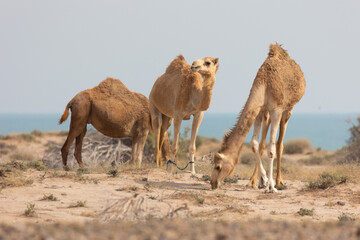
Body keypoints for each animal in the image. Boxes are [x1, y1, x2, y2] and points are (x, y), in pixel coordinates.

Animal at [210, 43, 306, 193]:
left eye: (218, 166)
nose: (213, 183)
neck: (264, 84)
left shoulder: (276, 110)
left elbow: (271, 149)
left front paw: (271, 186)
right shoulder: (259, 111)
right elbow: (254, 144)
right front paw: (264, 180)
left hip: (288, 109)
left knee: (279, 144)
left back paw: (279, 181)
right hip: (267, 113)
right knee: (263, 143)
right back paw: (258, 181)